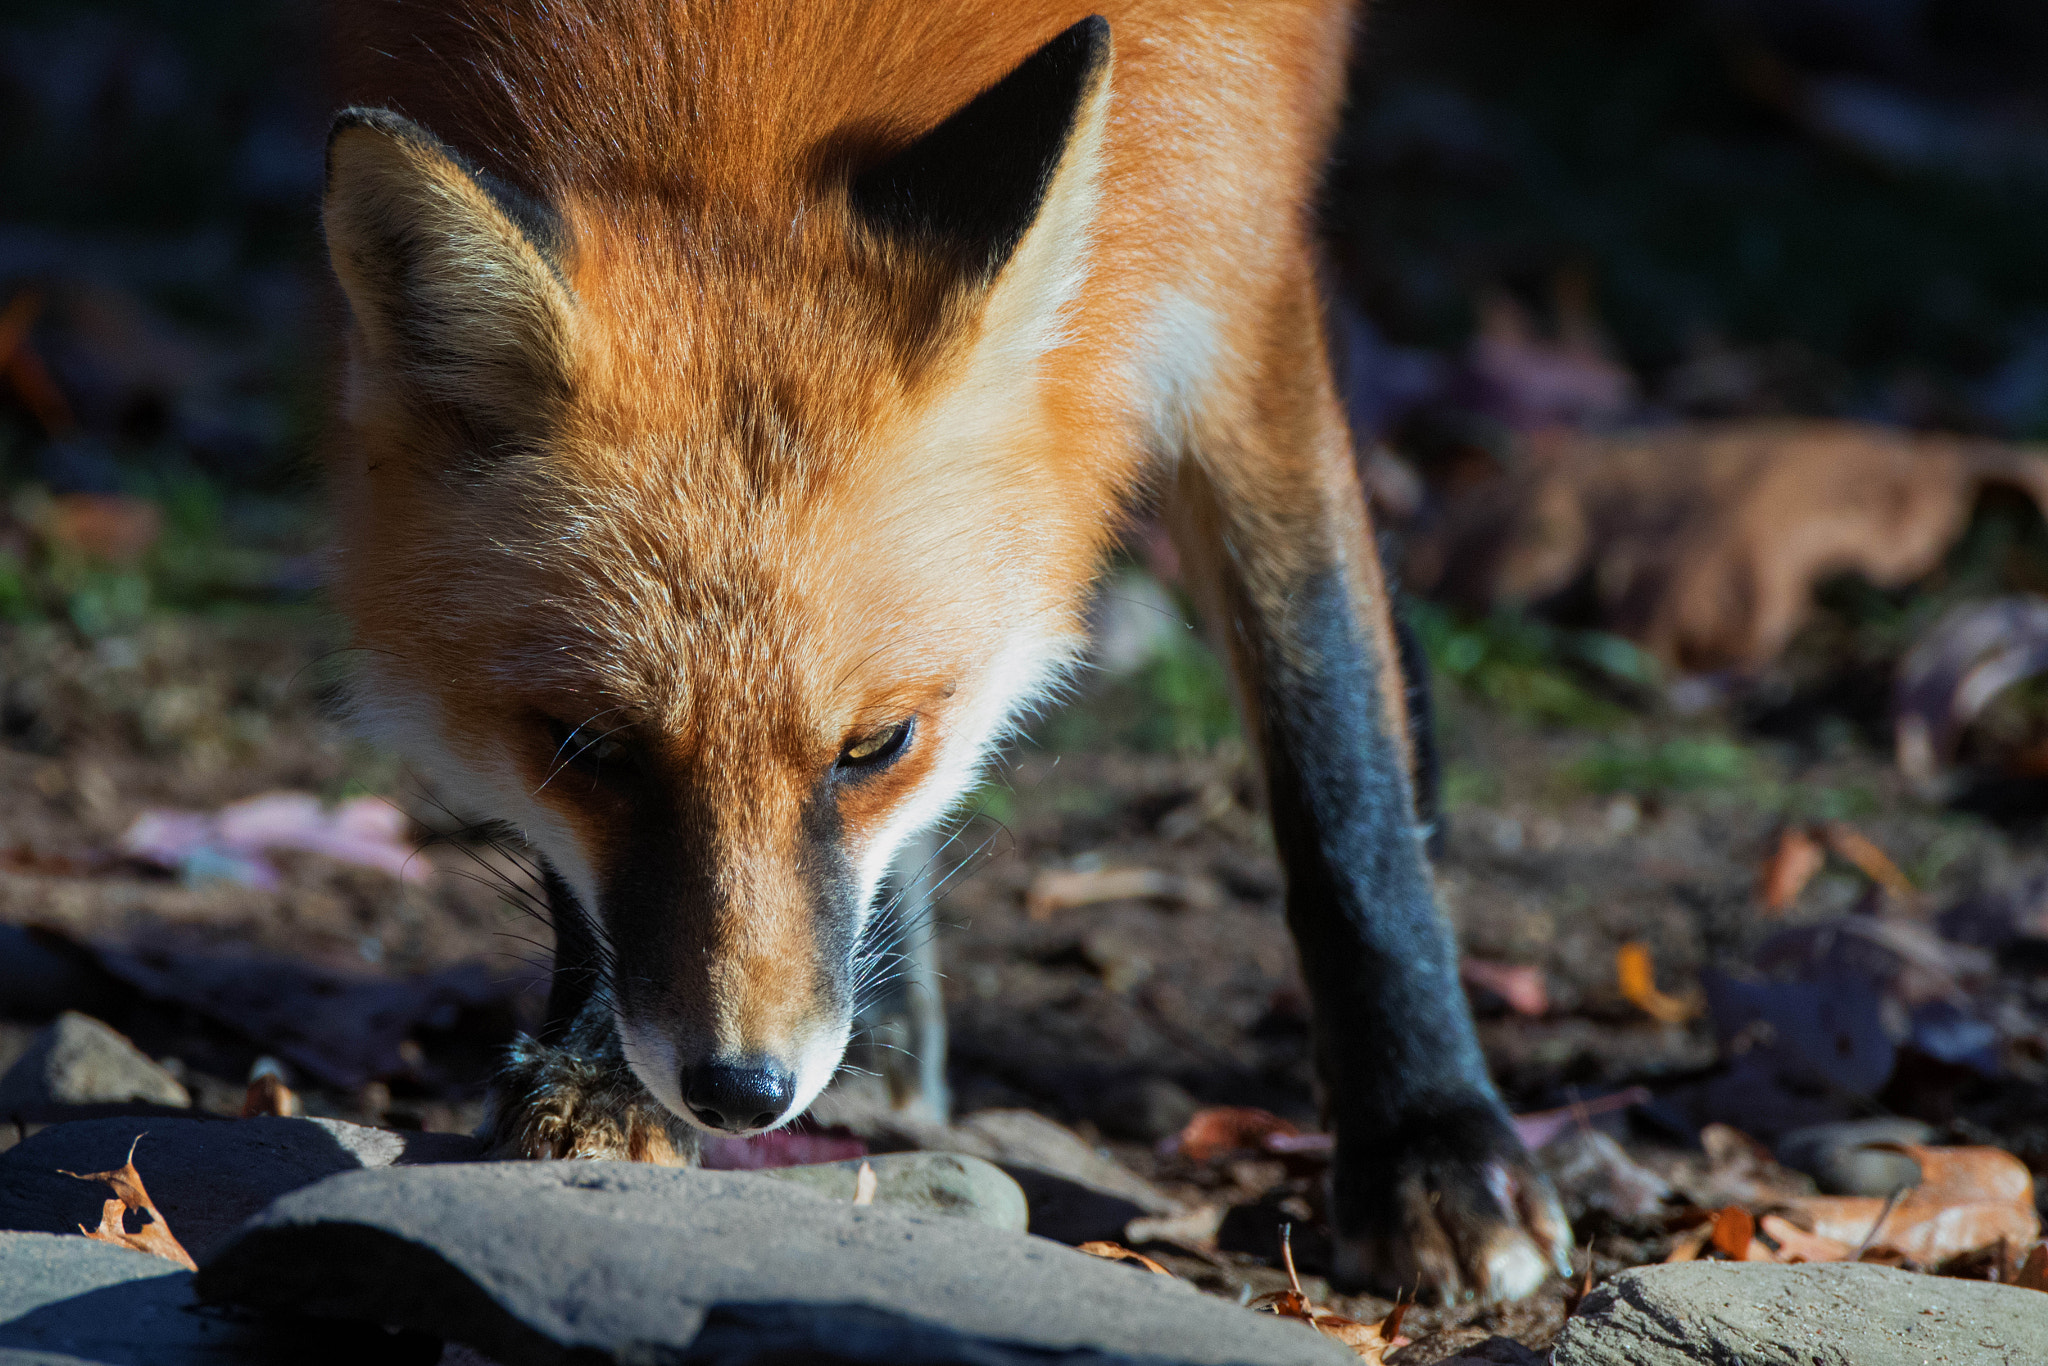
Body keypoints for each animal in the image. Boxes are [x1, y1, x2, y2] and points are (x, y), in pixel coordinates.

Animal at [323, 0, 1564, 1302]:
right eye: (588, 748)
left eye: (878, 744)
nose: (742, 1089)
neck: (735, 59)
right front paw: (599, 1076)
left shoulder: (1239, 260)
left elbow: (1331, 738)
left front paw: (1429, 1134)